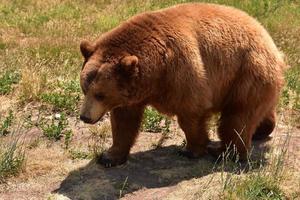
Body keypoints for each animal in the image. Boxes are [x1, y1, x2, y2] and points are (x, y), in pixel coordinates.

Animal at [78, 3, 284, 166]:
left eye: (100, 94)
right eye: (85, 89)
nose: (85, 117)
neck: (155, 71)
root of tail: (271, 43)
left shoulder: (180, 69)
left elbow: (191, 111)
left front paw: (191, 149)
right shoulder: (132, 91)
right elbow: (124, 121)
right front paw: (109, 156)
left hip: (245, 73)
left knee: (237, 117)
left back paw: (226, 152)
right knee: (258, 110)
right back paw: (261, 131)